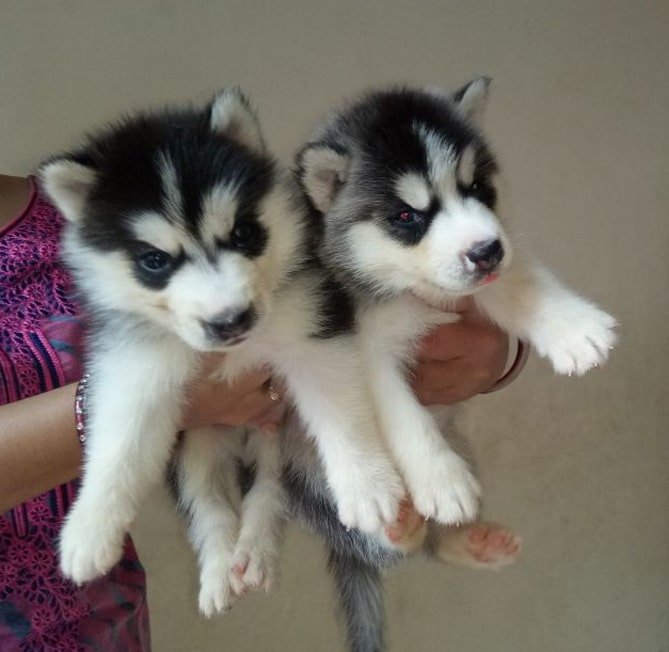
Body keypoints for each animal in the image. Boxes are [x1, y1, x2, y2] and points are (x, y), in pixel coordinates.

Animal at [43, 89, 408, 612]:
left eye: (243, 233)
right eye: (154, 260)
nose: (230, 320)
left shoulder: (313, 329)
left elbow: (342, 414)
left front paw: (367, 484)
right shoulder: (137, 366)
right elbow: (121, 443)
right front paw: (90, 527)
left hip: (281, 436)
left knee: (268, 490)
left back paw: (255, 551)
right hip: (194, 443)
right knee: (208, 502)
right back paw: (218, 568)